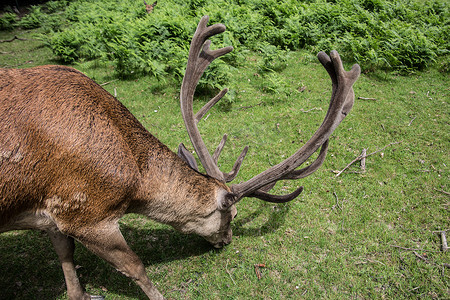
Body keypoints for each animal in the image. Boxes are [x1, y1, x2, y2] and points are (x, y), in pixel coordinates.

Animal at [0, 16, 358, 300]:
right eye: (230, 216)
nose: (226, 241)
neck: (135, 182)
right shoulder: (86, 212)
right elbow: (135, 266)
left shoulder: (52, 212)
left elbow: (65, 256)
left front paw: (82, 293)